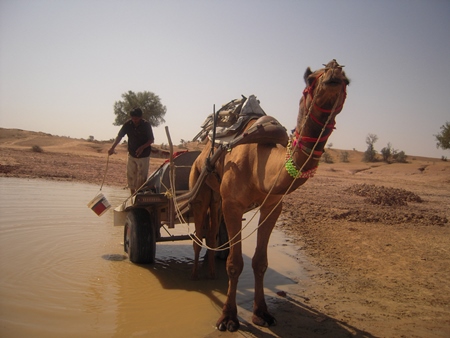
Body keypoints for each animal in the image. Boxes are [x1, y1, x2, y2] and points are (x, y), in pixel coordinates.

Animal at [188, 59, 350, 332]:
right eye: (311, 79)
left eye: (347, 80)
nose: (334, 73)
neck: (260, 163)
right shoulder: (234, 205)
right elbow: (235, 264)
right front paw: (228, 319)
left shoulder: (273, 206)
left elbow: (260, 262)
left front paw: (261, 313)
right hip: (199, 186)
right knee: (198, 233)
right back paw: (196, 277)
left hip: (217, 198)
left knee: (211, 231)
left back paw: (210, 273)